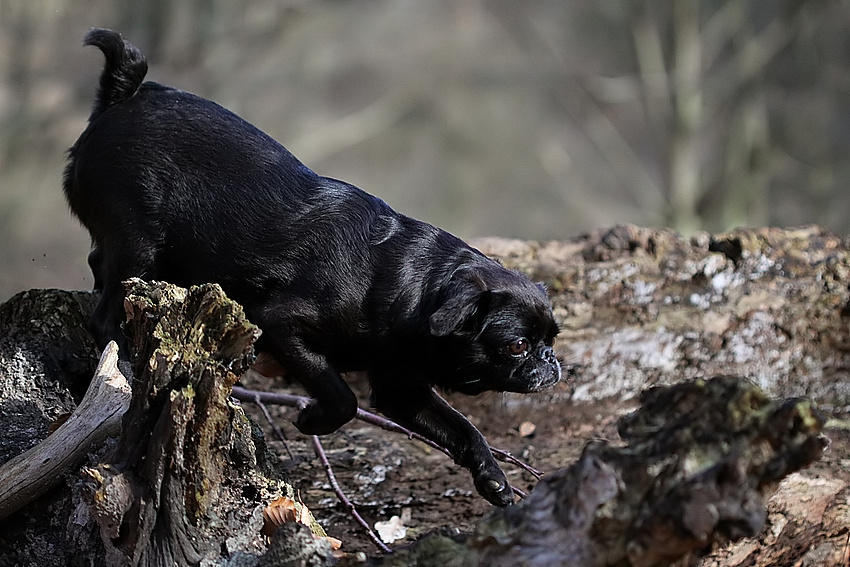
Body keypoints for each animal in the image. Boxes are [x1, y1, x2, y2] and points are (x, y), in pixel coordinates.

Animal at [64, 27, 556, 506]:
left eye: (551, 338)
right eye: (517, 346)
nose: (551, 364)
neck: (410, 285)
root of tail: (123, 97)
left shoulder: (401, 388)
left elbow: (463, 428)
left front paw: (492, 478)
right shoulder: (282, 324)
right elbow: (343, 398)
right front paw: (312, 419)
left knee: (97, 264)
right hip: (141, 246)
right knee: (104, 312)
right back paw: (125, 361)